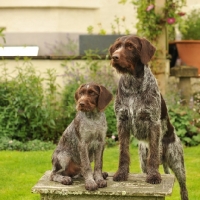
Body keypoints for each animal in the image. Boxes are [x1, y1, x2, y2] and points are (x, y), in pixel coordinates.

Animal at [108, 35, 188, 200]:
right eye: (117, 46)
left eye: (130, 46)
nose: (114, 57)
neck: (133, 84)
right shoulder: (122, 122)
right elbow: (123, 152)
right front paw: (121, 173)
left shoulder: (153, 122)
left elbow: (153, 155)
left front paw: (154, 176)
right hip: (143, 159)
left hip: (177, 162)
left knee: (183, 188)